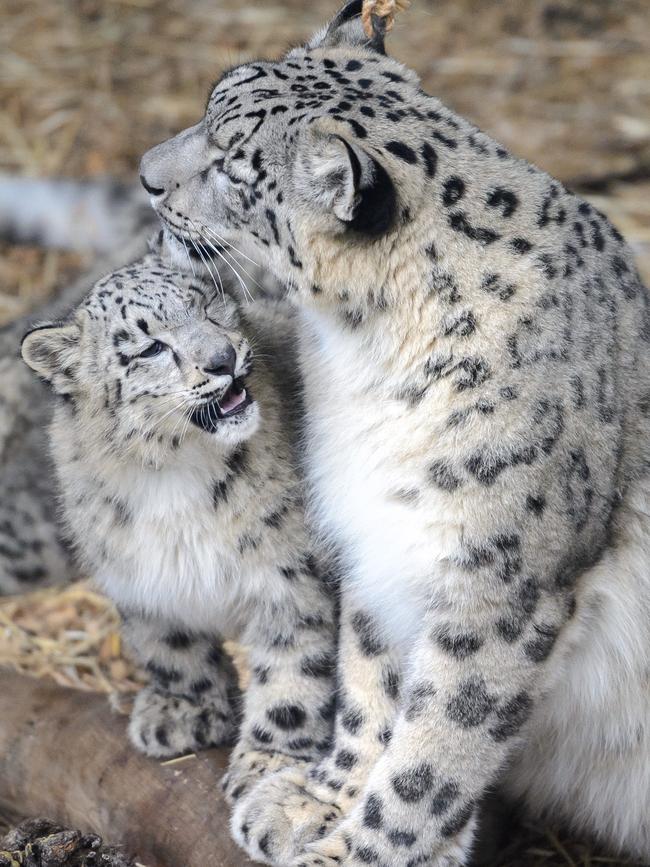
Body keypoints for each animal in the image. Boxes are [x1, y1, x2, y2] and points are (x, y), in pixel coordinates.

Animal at [20, 246, 336, 772]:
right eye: (150, 348)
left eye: (208, 307)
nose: (223, 359)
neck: (172, 475)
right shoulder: (140, 579)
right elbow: (174, 651)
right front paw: (183, 712)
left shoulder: (292, 575)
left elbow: (294, 665)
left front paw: (268, 760)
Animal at [138, 3, 648, 864]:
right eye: (208, 105)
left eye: (234, 168)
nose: (144, 175)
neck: (359, 360)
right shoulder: (375, 539)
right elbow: (371, 684)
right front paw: (314, 802)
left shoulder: (499, 587)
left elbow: (437, 749)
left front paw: (363, 849)